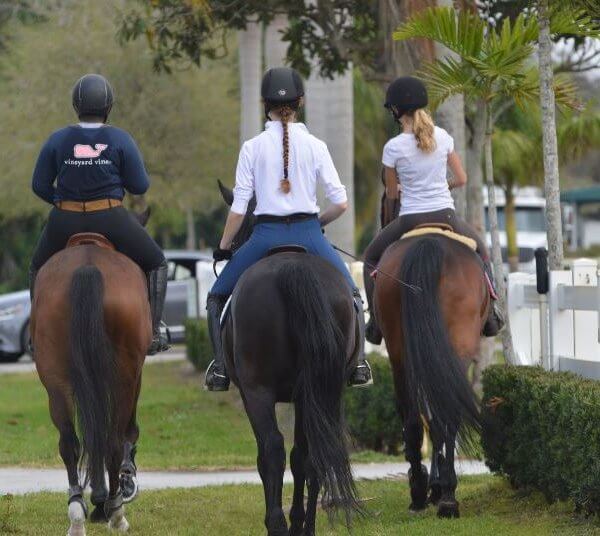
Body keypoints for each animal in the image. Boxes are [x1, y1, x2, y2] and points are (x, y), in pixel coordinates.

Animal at [30, 213, 152, 532]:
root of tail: (87, 265)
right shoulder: (135, 374)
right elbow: (125, 430)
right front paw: (112, 494)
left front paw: (95, 500)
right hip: (124, 376)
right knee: (111, 440)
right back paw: (116, 512)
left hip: (56, 379)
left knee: (70, 442)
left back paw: (77, 512)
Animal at [218, 182, 364, 532]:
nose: (226, 249)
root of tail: (292, 266)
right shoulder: (304, 395)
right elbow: (303, 457)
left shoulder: (252, 392)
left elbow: (270, 454)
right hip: (323, 389)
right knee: (309, 455)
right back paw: (303, 525)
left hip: (258, 390)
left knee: (272, 450)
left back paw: (277, 524)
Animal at [376, 234, 488, 520]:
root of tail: (429, 243)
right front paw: (437, 486)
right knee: (443, 416)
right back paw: (445, 495)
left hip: (401, 356)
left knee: (416, 421)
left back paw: (425, 493)